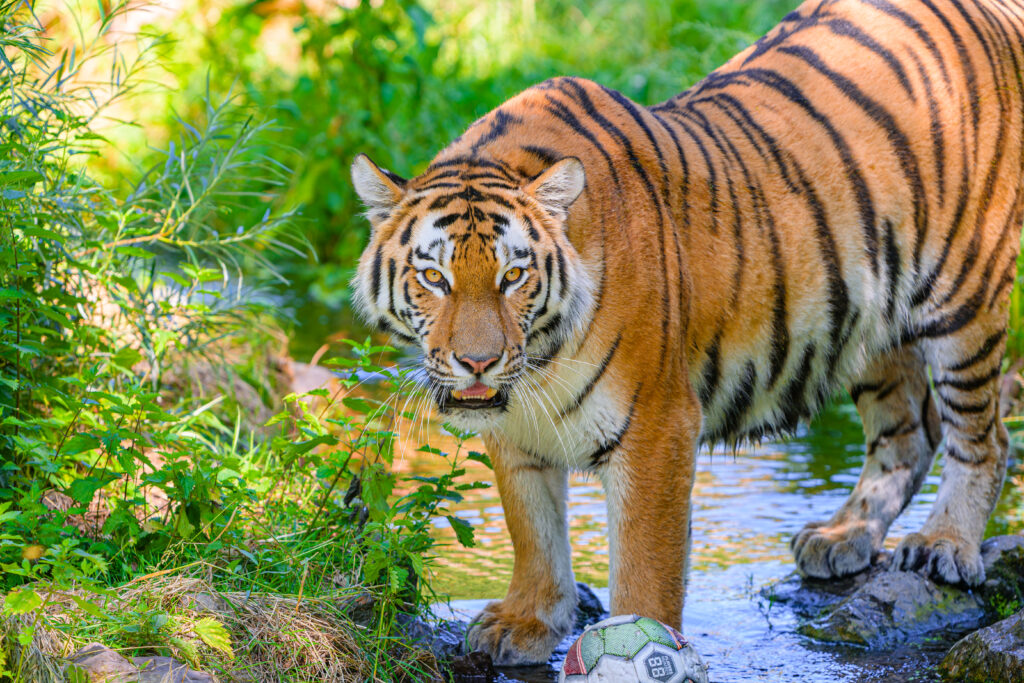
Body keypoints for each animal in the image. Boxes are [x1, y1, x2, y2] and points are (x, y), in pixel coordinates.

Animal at [350, 0, 1024, 666]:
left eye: (513, 275)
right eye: (434, 277)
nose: (478, 362)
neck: (540, 362)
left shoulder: (658, 424)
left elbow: (646, 565)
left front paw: (640, 637)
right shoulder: (516, 429)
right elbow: (533, 528)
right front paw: (526, 621)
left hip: (964, 294)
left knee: (981, 435)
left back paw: (943, 544)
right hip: (867, 318)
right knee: (910, 431)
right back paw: (842, 536)